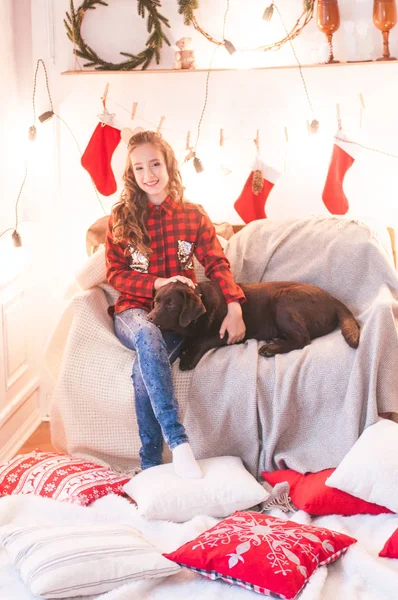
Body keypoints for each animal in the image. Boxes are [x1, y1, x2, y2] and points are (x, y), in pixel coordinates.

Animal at [147, 280, 360, 370]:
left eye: (171, 304)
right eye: (156, 302)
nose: (148, 318)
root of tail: (333, 299)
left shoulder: (228, 332)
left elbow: (202, 341)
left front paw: (188, 358)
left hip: (282, 299)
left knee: (303, 339)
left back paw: (271, 348)